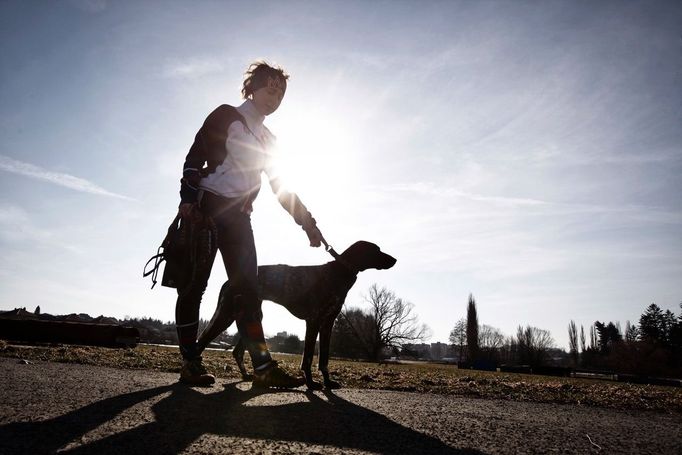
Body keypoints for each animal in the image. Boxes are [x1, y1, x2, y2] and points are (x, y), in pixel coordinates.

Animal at [194, 240, 396, 390]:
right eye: (377, 250)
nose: (395, 260)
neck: (339, 272)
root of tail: (229, 281)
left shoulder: (327, 324)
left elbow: (324, 359)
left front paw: (328, 382)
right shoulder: (313, 321)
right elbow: (307, 358)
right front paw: (311, 383)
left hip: (250, 315)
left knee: (237, 351)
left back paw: (247, 376)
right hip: (227, 315)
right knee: (202, 341)